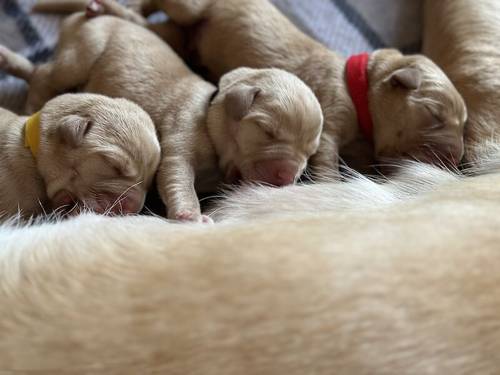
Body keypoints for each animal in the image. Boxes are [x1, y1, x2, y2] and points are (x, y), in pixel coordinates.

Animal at [21, 13, 322, 222]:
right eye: (266, 130)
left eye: (310, 152)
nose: (286, 178)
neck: (209, 109)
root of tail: (82, 18)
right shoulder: (182, 133)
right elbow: (177, 175)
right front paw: (190, 214)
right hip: (87, 48)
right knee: (46, 73)